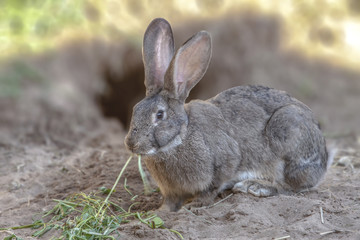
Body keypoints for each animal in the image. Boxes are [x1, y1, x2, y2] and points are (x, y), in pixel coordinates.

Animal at [124, 17, 330, 211]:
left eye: (160, 115)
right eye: (135, 109)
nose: (131, 144)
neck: (180, 137)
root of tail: (324, 159)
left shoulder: (225, 163)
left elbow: (211, 188)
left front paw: (195, 205)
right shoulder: (171, 191)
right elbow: (170, 202)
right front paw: (161, 211)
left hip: (287, 133)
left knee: (291, 186)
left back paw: (255, 186)